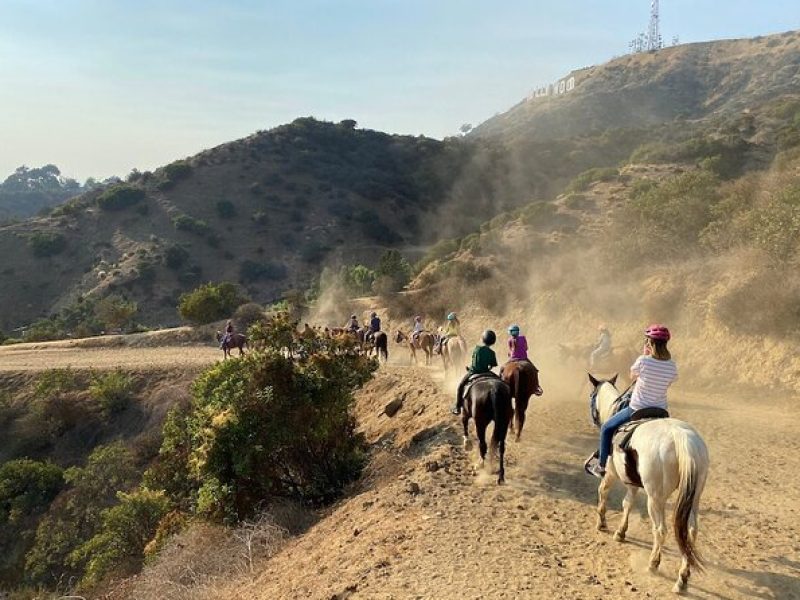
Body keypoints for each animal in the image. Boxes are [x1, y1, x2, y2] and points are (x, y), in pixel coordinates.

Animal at [584, 376, 708, 596]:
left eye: (592, 395)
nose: (593, 419)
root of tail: (682, 438)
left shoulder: (611, 474)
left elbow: (603, 492)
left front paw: (602, 523)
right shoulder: (632, 482)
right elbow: (627, 503)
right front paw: (621, 532)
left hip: (655, 498)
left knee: (660, 530)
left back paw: (653, 564)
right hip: (694, 498)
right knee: (691, 532)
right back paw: (682, 578)